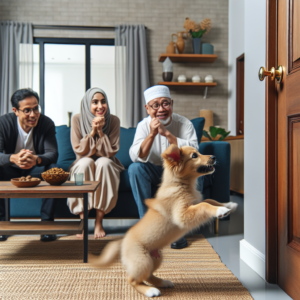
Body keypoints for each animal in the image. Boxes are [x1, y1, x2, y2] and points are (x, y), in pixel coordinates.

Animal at [88, 145, 237, 298]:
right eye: (194, 156)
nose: (214, 157)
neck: (181, 184)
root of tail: (122, 242)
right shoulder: (182, 214)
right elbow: (204, 205)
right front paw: (220, 210)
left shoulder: (194, 203)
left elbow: (208, 200)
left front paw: (227, 205)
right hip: (142, 261)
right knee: (132, 280)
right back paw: (150, 291)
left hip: (155, 259)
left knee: (148, 276)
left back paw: (163, 282)